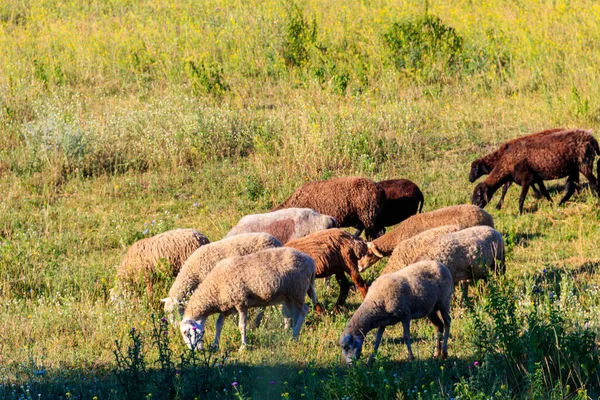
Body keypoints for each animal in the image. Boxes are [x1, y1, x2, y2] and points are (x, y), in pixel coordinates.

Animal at [179, 247, 318, 350]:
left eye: (187, 332)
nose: (194, 351)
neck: (215, 288)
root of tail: (310, 261)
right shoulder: (227, 307)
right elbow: (218, 325)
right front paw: (215, 345)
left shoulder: (241, 303)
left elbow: (242, 326)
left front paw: (243, 346)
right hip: (289, 295)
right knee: (295, 313)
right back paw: (294, 335)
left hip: (298, 290)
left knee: (304, 310)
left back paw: (294, 336)